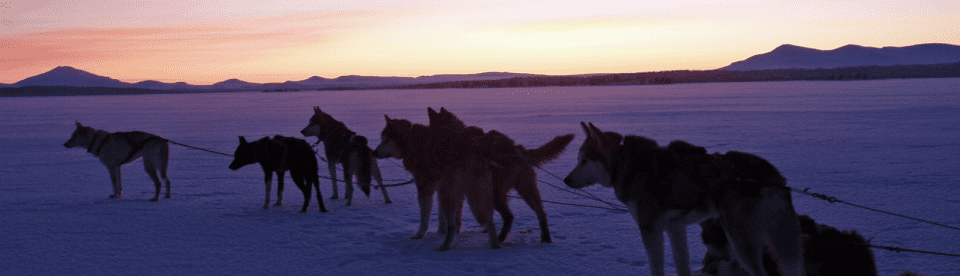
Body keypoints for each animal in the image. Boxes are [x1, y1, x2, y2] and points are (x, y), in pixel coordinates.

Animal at [426, 108, 572, 244]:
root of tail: (516, 151)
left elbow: (444, 215)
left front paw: (443, 232)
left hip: (496, 194)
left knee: (509, 216)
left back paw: (499, 239)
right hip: (527, 190)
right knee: (540, 213)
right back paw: (545, 238)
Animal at [564, 122, 804, 276]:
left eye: (584, 160)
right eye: (578, 159)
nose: (566, 180)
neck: (626, 166)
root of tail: (775, 178)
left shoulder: (651, 230)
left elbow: (657, 268)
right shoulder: (675, 227)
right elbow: (682, 267)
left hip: (742, 243)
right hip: (779, 244)